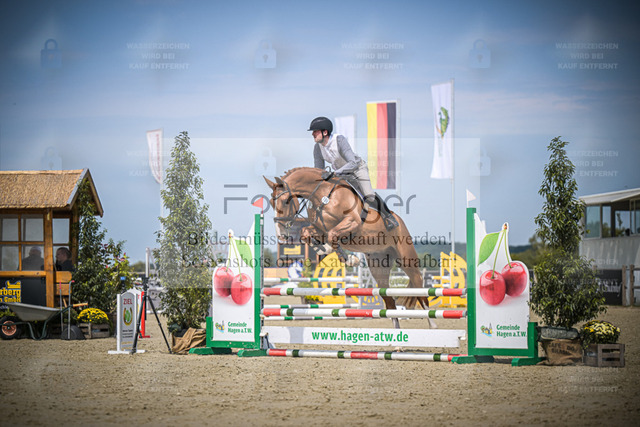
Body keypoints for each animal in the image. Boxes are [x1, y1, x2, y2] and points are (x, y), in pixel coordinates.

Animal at [264, 167, 436, 329]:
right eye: (272, 203)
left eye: (285, 201)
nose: (281, 235)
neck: (322, 195)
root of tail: (400, 222)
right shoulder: (318, 228)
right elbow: (307, 233)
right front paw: (324, 249)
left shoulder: (351, 222)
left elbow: (332, 235)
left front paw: (350, 259)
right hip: (378, 266)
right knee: (390, 302)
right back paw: (397, 336)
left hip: (407, 259)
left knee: (420, 290)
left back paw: (432, 325)